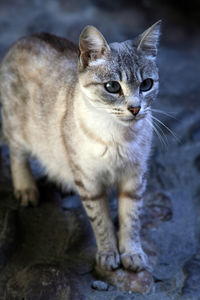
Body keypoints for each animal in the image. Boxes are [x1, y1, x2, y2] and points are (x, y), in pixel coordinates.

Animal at [0, 21, 160, 272]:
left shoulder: (135, 177)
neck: (118, 137)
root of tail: (26, 38)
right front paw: (108, 254)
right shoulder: (89, 181)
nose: (135, 108)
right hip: (18, 128)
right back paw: (26, 188)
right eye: (112, 86)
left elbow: (131, 219)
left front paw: (132, 253)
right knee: (17, 155)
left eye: (146, 84)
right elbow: (102, 222)